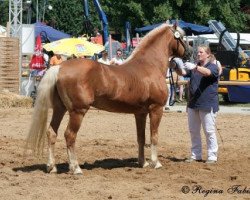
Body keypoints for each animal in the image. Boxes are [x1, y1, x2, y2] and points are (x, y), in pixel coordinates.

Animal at [25, 23, 189, 173]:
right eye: (182, 37)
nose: (189, 53)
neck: (149, 66)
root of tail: (60, 67)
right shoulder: (156, 109)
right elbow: (154, 136)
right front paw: (156, 163)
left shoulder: (140, 113)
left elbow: (141, 138)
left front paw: (143, 163)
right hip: (78, 111)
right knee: (69, 135)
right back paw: (76, 168)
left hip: (60, 109)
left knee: (52, 133)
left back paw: (51, 167)